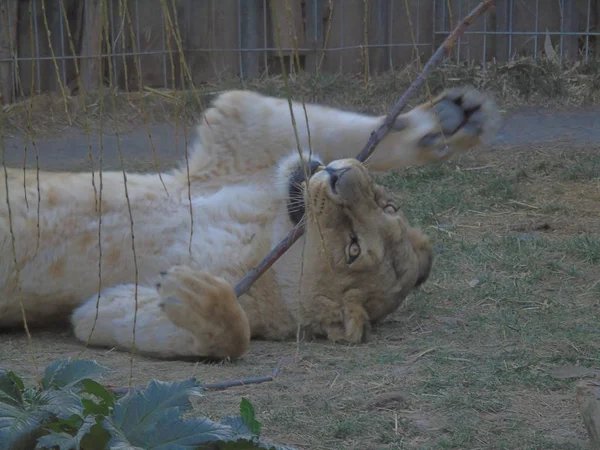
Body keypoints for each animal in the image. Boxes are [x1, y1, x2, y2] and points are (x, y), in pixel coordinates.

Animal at [0, 87, 500, 358]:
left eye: (353, 247)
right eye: (387, 205)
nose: (341, 176)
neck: (261, 224)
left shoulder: (106, 306)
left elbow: (232, 335)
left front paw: (191, 294)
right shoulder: (234, 134)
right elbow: (315, 125)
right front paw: (449, 120)